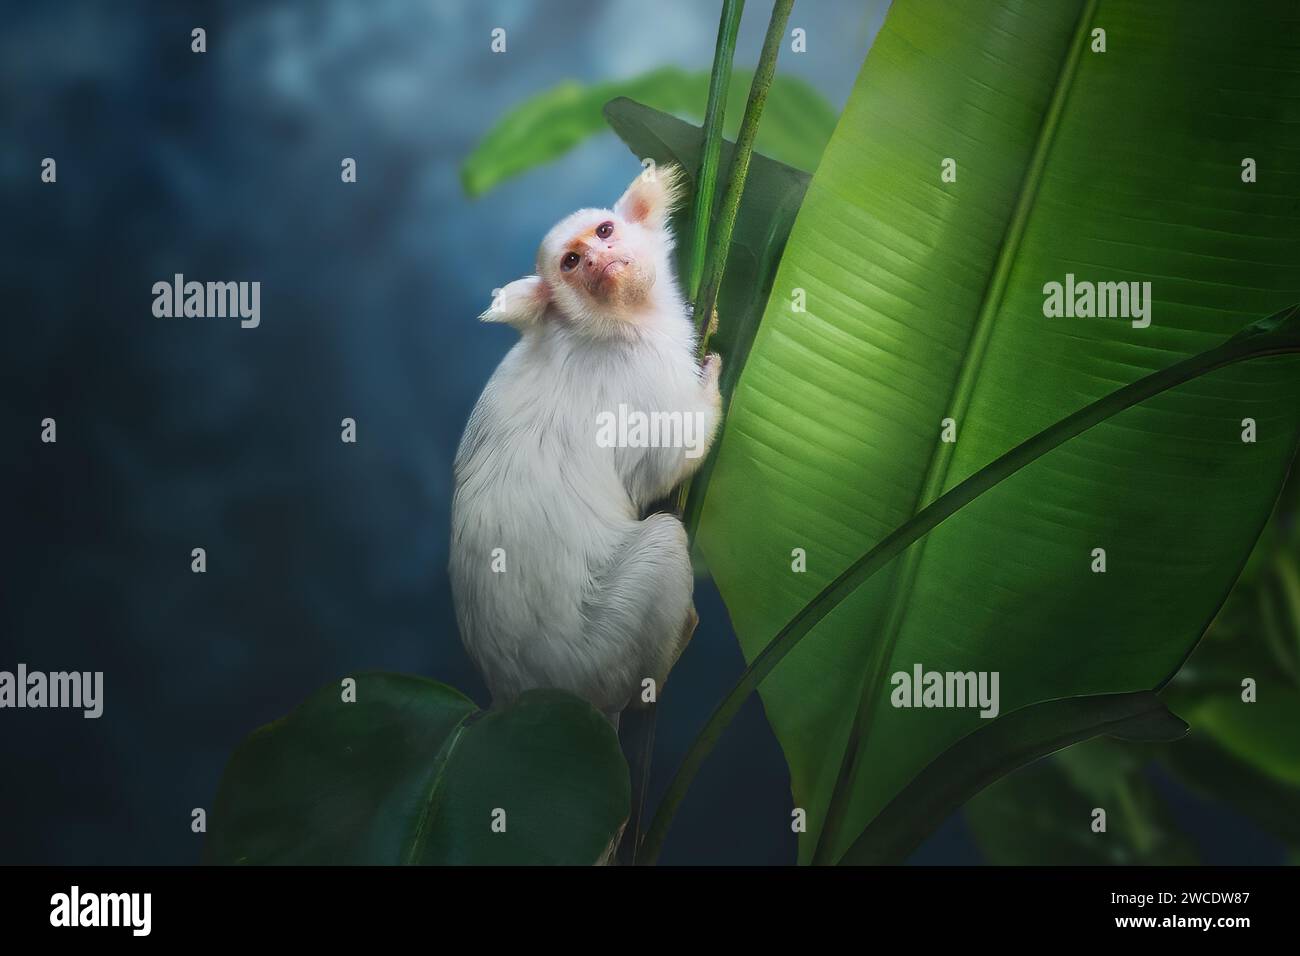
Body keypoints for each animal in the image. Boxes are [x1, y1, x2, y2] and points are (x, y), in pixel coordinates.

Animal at [450, 164, 721, 723]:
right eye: (571, 263)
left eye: (604, 232)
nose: (598, 258)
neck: (609, 326)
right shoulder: (646, 375)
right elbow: (666, 465)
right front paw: (713, 383)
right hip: (608, 645)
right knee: (664, 539)